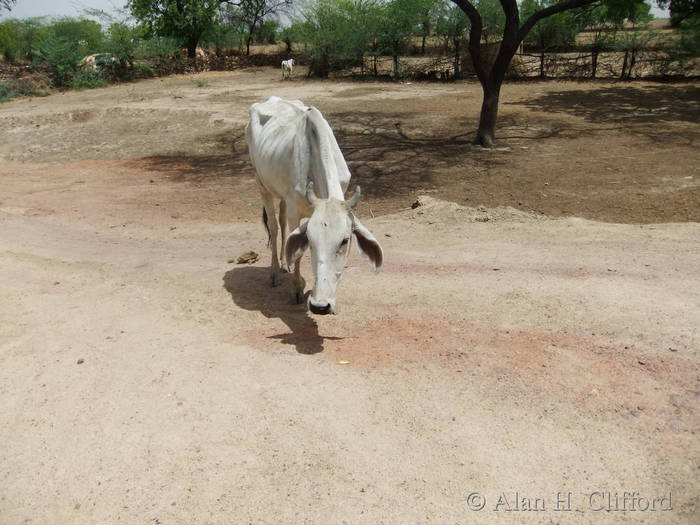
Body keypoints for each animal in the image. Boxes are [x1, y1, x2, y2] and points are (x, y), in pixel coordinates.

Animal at [245, 96, 383, 315]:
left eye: (345, 240)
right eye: (310, 239)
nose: (320, 306)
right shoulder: (295, 213)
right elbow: (298, 251)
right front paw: (296, 289)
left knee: (281, 221)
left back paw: (284, 264)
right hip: (262, 185)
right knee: (274, 227)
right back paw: (274, 272)